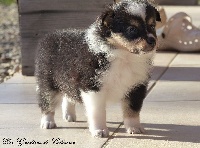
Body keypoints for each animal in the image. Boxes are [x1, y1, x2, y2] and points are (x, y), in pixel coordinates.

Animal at [35, 0, 161, 138]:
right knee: (47, 102)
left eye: (152, 26)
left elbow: (132, 110)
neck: (124, 56)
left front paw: (134, 128)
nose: (153, 41)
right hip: (48, 82)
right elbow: (98, 112)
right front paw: (99, 131)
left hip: (68, 78)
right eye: (132, 29)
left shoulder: (136, 86)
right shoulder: (93, 88)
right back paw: (47, 122)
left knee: (68, 95)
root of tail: (51, 36)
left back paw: (69, 115)